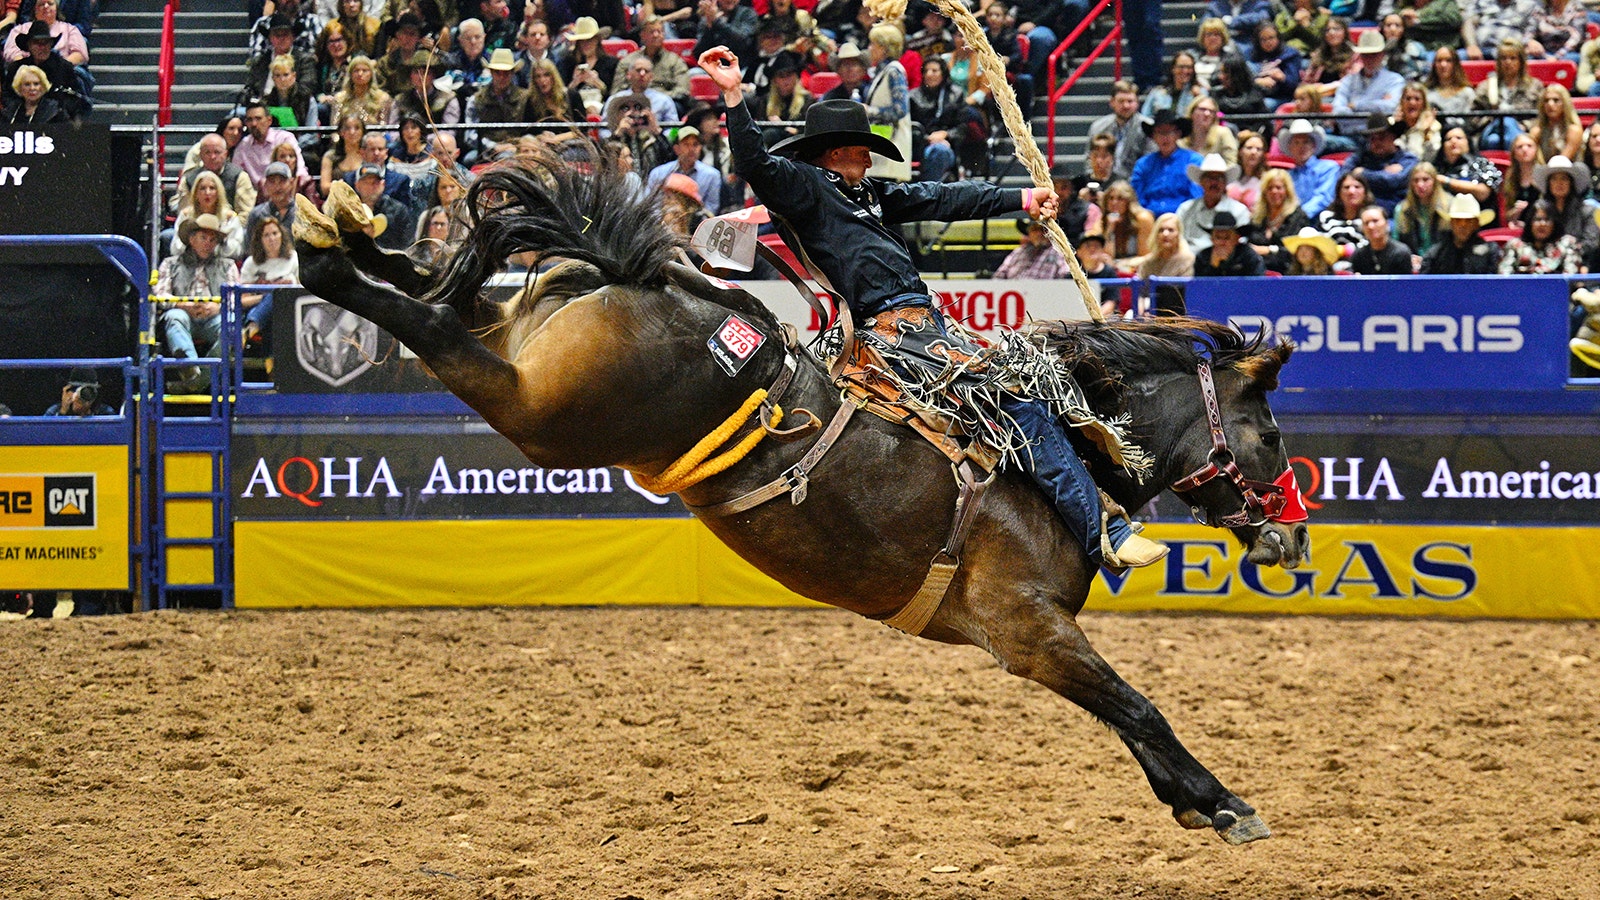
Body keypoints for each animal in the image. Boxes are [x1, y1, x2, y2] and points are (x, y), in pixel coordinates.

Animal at [291, 157, 1312, 845]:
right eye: (1268, 434)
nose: (1291, 546)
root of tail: (647, 278)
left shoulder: (1034, 638)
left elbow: (1124, 715)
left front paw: (1196, 803)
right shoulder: (1025, 626)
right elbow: (1137, 707)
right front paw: (1224, 801)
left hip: (521, 350)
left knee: (445, 293)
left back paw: (348, 225)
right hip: (540, 412)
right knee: (425, 321)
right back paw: (323, 252)